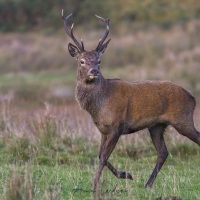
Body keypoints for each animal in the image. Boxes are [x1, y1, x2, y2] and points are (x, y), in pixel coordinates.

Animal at [61, 10, 200, 192]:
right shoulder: (103, 130)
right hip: (156, 126)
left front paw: (96, 184)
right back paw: (147, 184)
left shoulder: (117, 127)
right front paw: (126, 174)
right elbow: (100, 155)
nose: (94, 71)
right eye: (81, 61)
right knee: (163, 152)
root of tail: (192, 97)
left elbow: (103, 156)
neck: (99, 106)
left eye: (99, 61)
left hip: (183, 119)